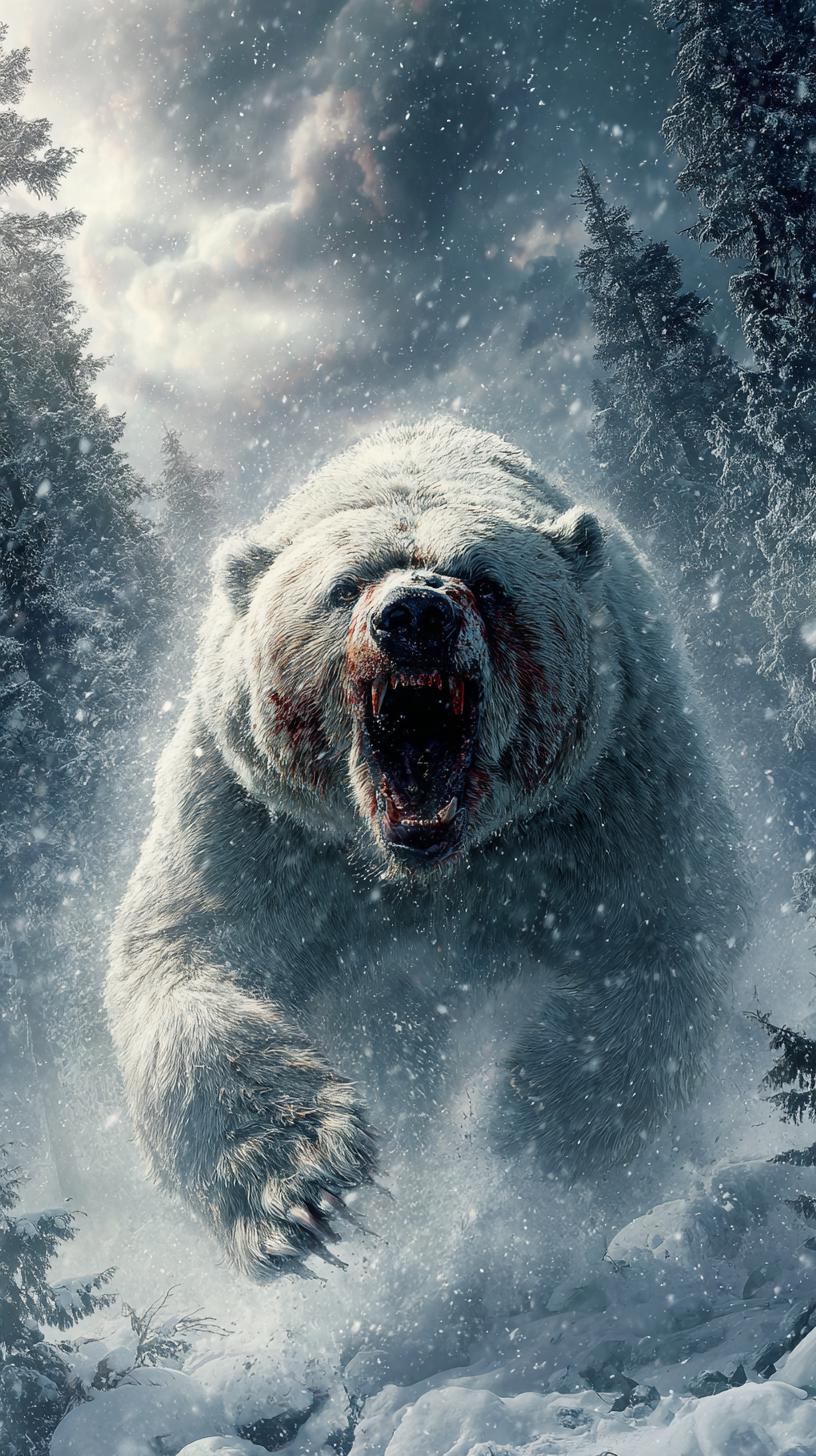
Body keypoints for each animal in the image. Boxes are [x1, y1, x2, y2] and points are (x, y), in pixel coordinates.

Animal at [107, 418, 747, 1280]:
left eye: (485, 579)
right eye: (345, 586)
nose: (414, 616)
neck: (428, 869)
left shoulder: (606, 790)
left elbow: (662, 932)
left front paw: (522, 1126)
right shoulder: (260, 823)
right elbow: (187, 952)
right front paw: (303, 1186)